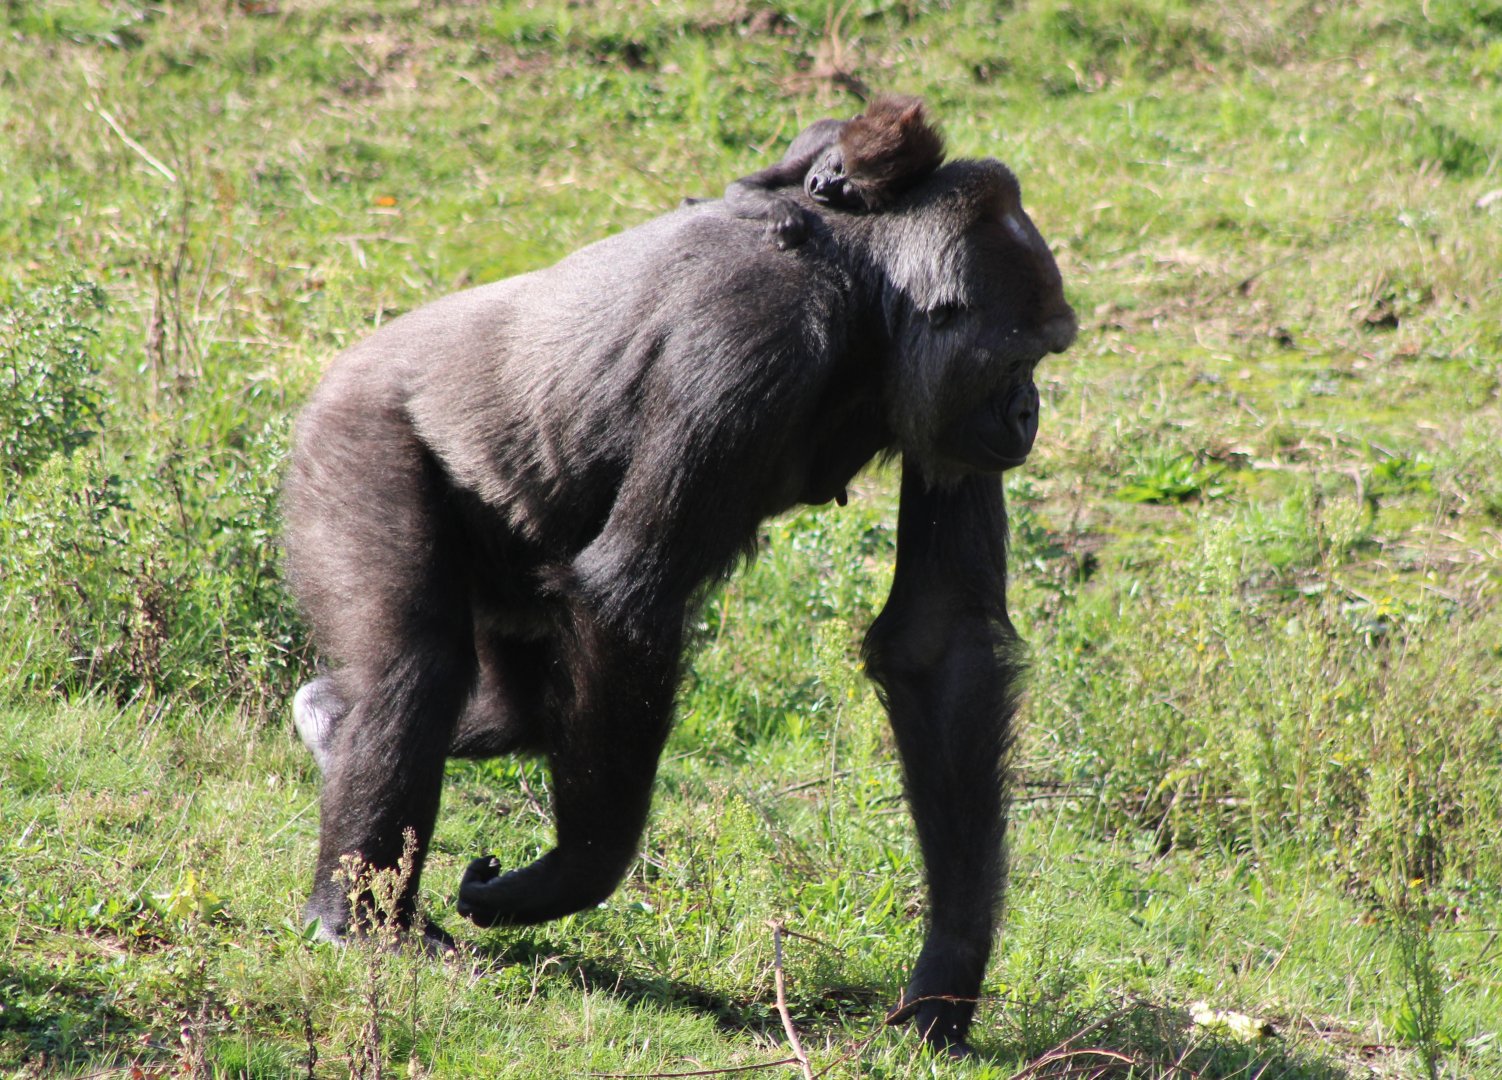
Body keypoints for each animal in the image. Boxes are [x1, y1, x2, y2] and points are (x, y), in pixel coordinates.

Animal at [283, 114, 1076, 1054]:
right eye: (1022, 359)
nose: (1027, 415)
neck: (863, 281)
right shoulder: (756, 330)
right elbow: (631, 598)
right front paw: (567, 877)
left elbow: (938, 639)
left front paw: (946, 978)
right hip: (352, 431)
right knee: (419, 667)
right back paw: (361, 917)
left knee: (505, 707)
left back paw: (332, 719)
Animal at [722, 95, 946, 250]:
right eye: (835, 165)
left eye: (848, 192)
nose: (819, 186)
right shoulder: (816, 147)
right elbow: (741, 187)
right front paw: (782, 210)